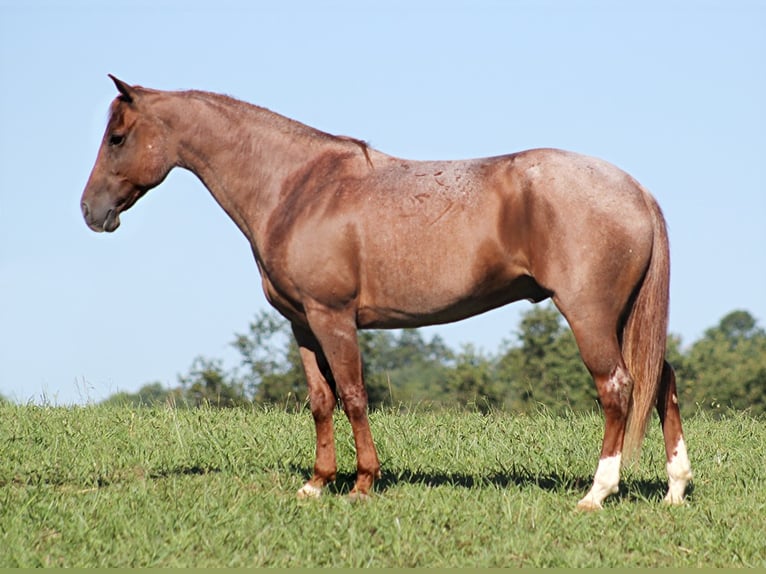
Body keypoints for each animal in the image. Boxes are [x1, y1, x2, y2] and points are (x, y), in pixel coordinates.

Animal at [81, 75, 692, 508]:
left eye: (117, 137)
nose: (91, 211)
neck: (298, 188)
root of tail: (634, 189)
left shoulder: (333, 318)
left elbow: (353, 394)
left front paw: (362, 483)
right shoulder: (302, 324)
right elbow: (320, 400)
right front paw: (317, 482)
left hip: (590, 316)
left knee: (617, 389)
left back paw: (597, 493)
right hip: (624, 318)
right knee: (661, 382)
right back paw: (675, 489)